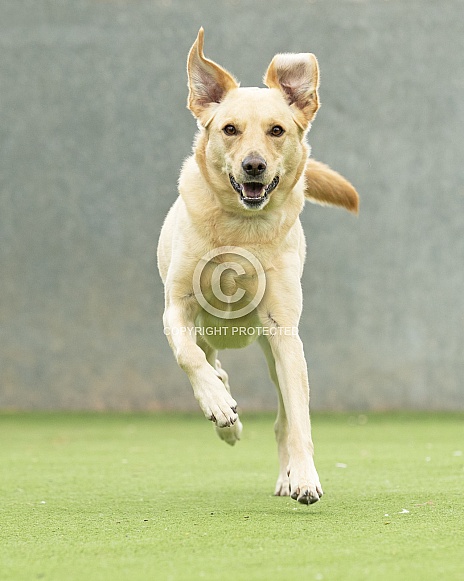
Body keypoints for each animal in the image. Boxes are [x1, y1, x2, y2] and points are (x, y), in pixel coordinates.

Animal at [159, 28, 358, 502]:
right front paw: (218, 405)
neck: (239, 229)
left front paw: (303, 476)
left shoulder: (284, 332)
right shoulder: (176, 307)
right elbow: (188, 357)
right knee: (210, 361)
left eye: (277, 130)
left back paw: (285, 474)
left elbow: (299, 420)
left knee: (283, 417)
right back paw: (224, 412)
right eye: (229, 129)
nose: (254, 166)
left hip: (272, 351)